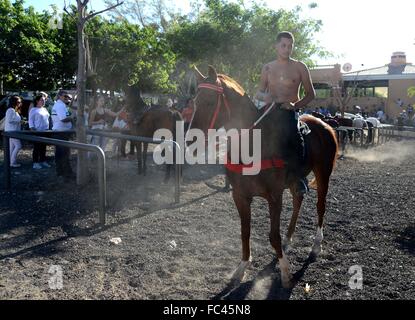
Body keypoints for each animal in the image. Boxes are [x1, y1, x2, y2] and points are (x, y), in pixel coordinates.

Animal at [191, 65, 338, 288]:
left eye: (208, 101)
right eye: (194, 102)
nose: (190, 139)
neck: (252, 146)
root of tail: (325, 124)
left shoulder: (274, 196)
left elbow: (273, 236)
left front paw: (285, 272)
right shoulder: (240, 196)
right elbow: (245, 232)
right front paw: (242, 267)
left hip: (323, 173)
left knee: (320, 205)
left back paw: (316, 244)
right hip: (295, 182)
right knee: (298, 200)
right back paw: (289, 237)